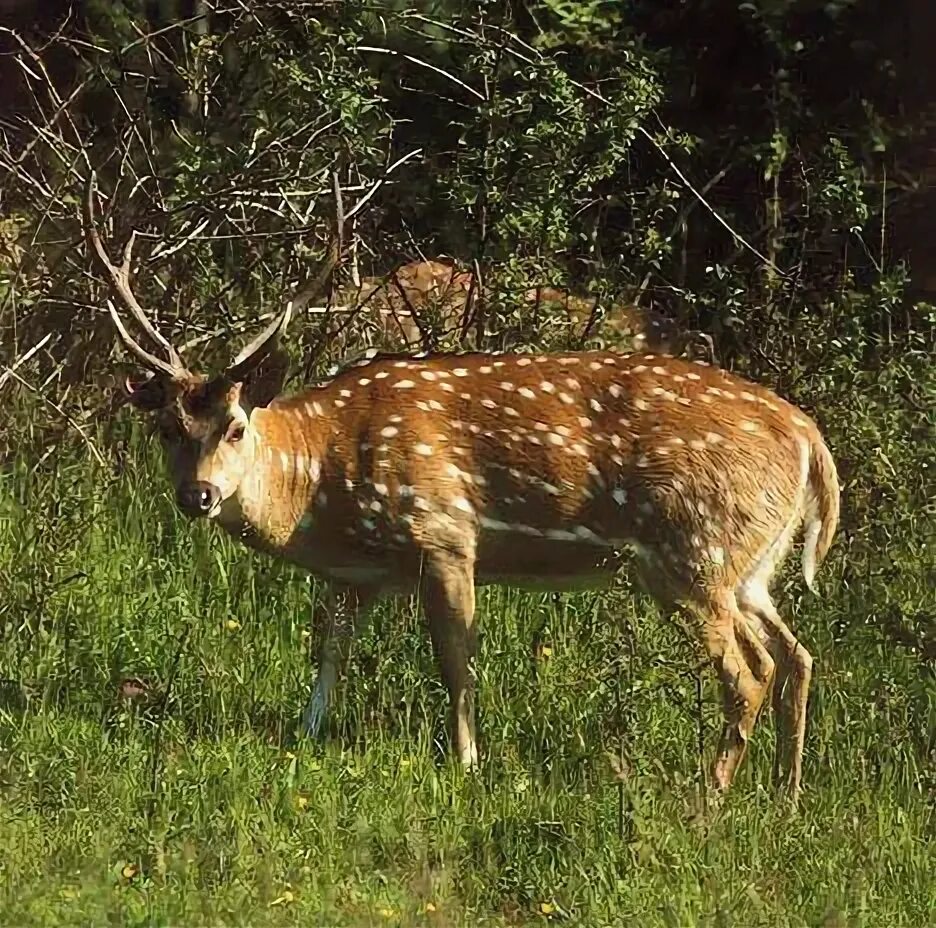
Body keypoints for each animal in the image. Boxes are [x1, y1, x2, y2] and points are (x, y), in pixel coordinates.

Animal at [88, 178, 840, 800]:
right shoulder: (359, 575)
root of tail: (809, 438)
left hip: (691, 550)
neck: (322, 485)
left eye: (236, 426)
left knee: (749, 670)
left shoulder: (442, 533)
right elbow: (329, 651)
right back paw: (786, 793)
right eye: (165, 427)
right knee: (796, 655)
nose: (197, 496)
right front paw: (304, 738)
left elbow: (456, 661)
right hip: (750, 563)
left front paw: (467, 764)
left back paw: (709, 797)